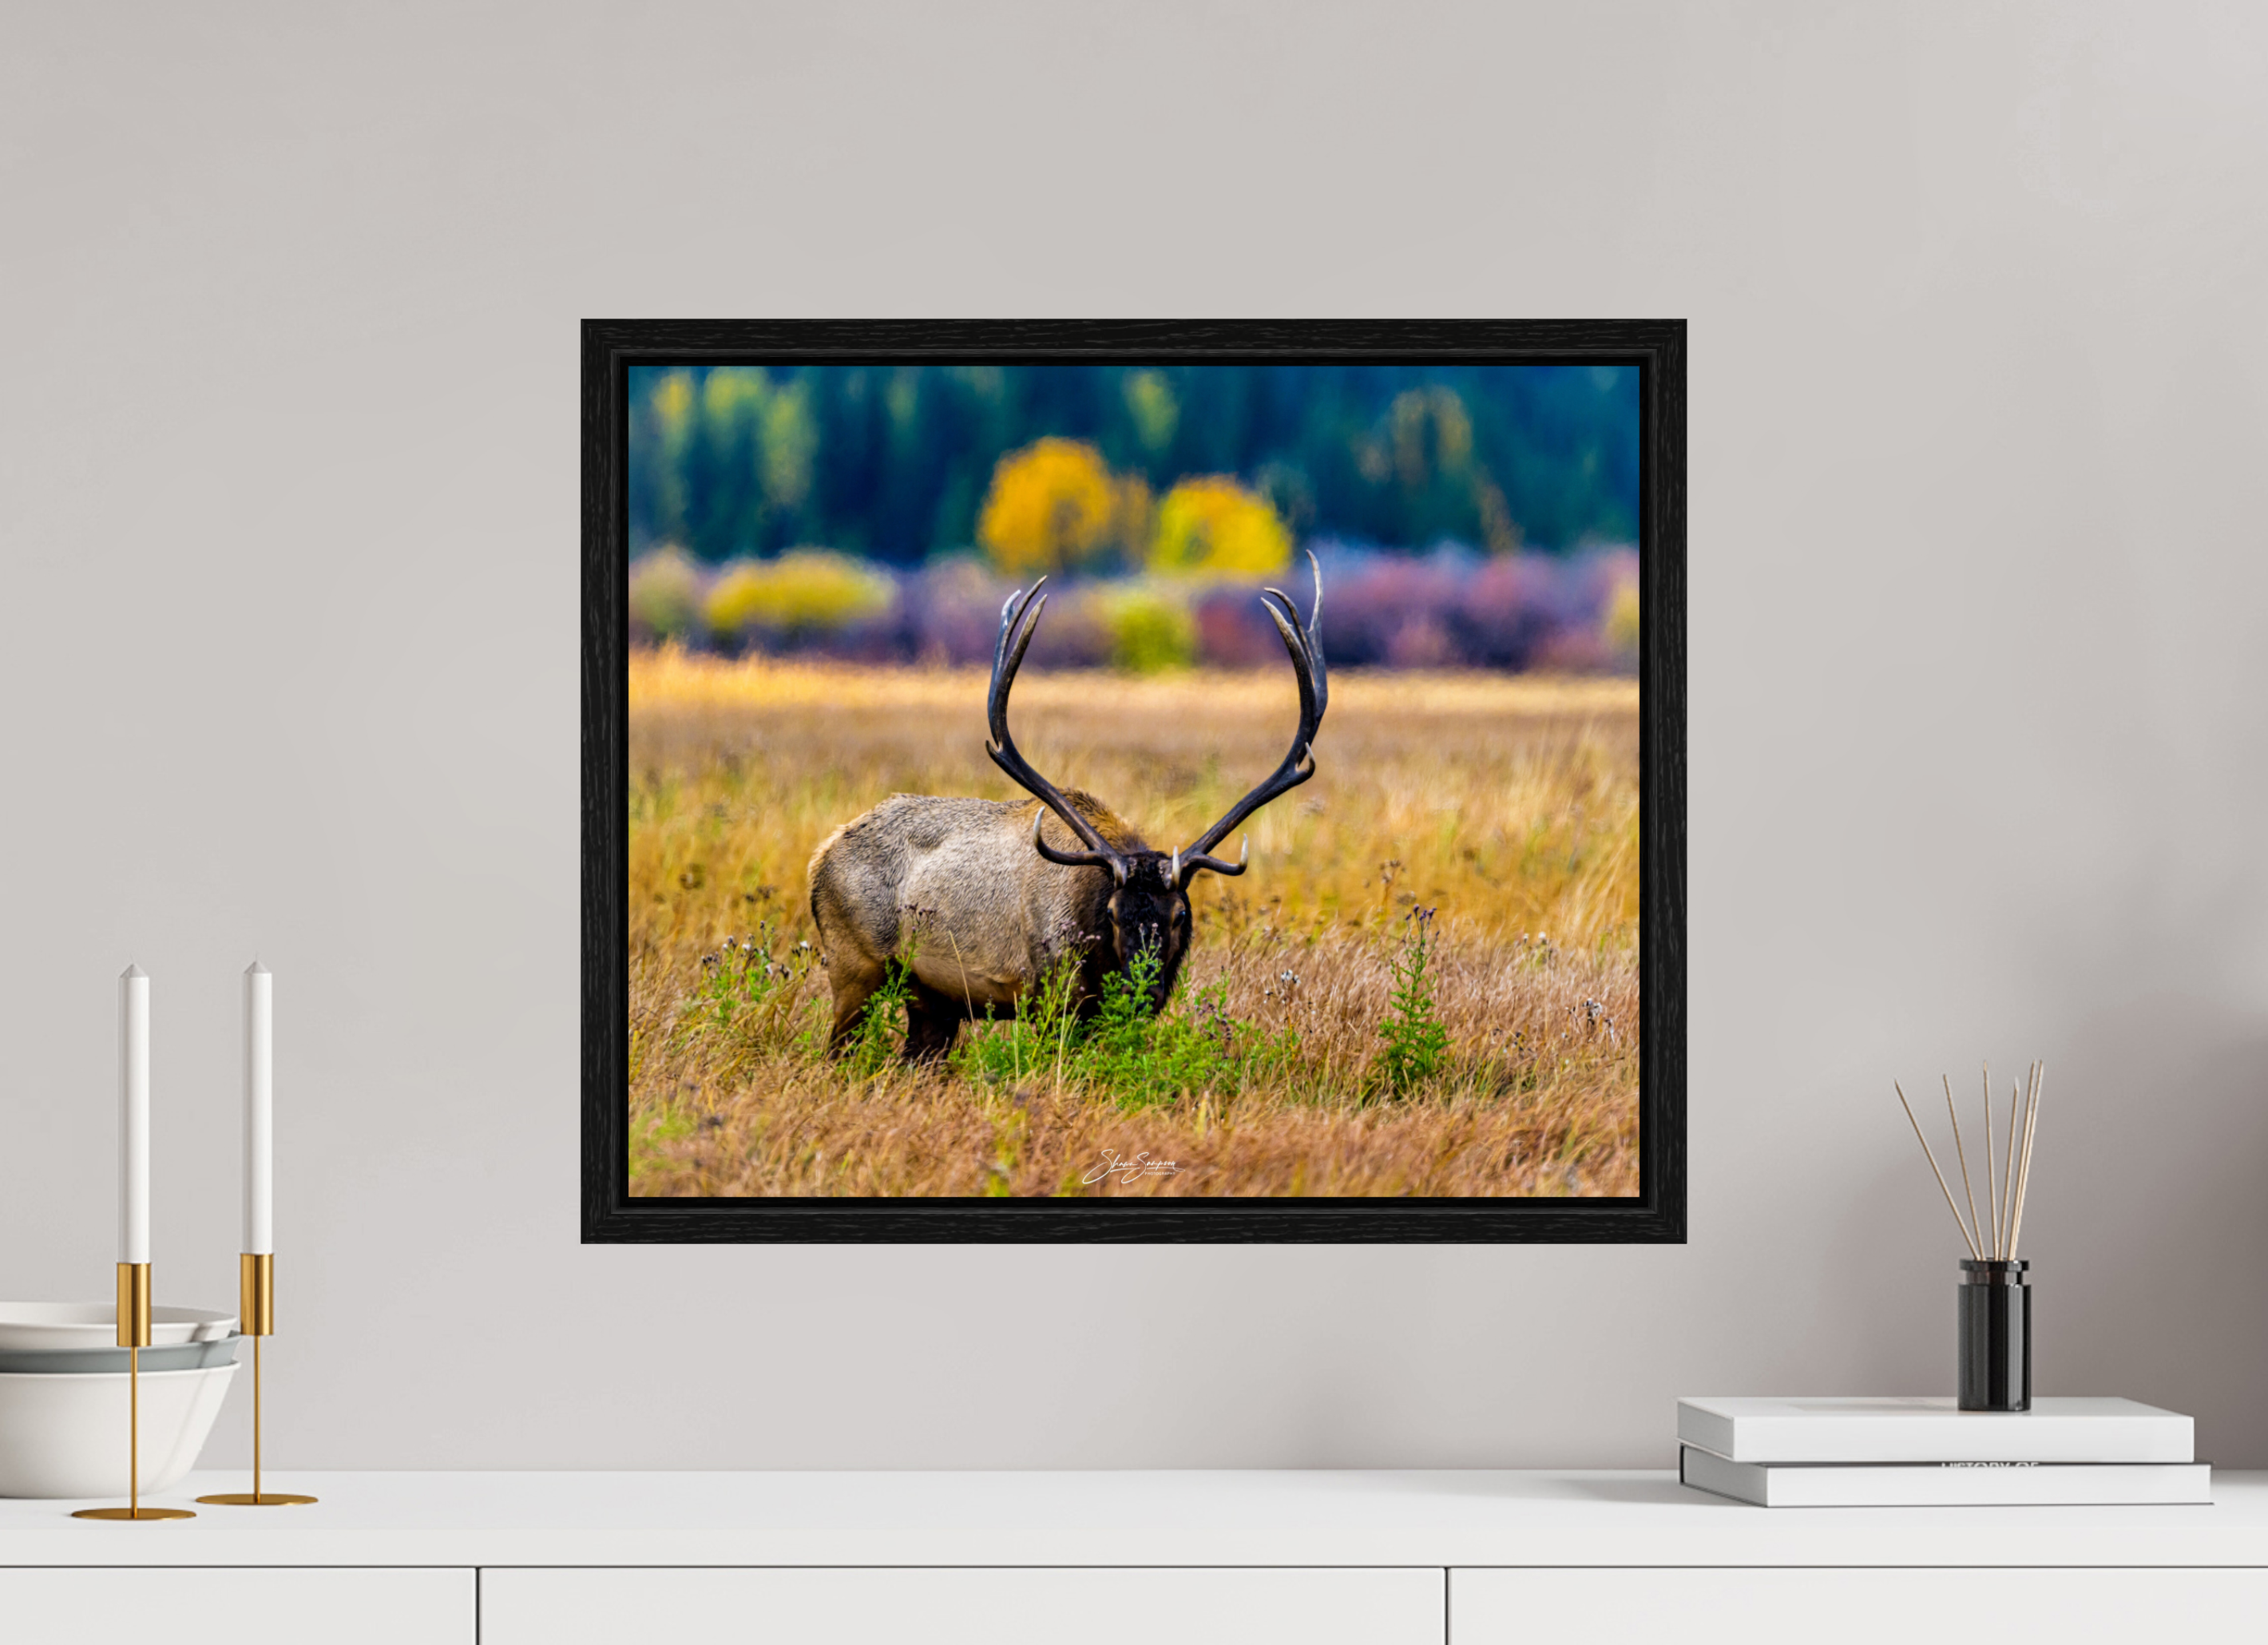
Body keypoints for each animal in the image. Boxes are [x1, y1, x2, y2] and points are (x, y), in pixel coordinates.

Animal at [807, 553, 1327, 1062]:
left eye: (1179, 914)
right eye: (1113, 914)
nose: (1144, 992)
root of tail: (819, 859)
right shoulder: (1051, 998)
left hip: (931, 998)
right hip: (854, 966)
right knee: (835, 1050)